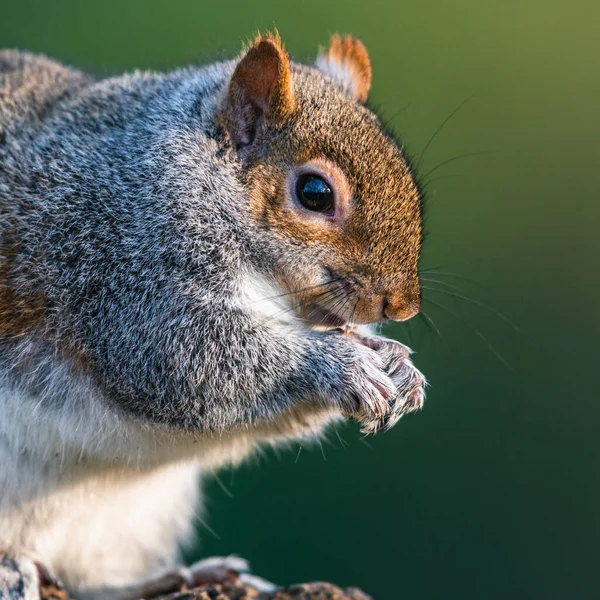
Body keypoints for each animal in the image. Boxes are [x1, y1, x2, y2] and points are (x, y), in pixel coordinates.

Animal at [0, 34, 424, 600]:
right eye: (314, 193)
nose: (401, 305)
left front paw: (396, 363)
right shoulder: (118, 270)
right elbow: (187, 360)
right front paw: (341, 365)